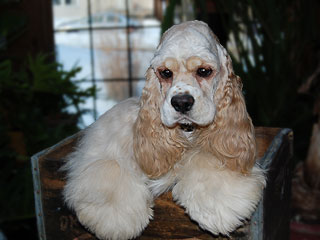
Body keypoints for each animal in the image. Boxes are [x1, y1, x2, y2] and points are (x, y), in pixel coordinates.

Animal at [62, 21, 264, 240]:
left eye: (204, 71)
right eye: (165, 72)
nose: (181, 102)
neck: (185, 132)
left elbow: (206, 158)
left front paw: (220, 208)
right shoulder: (102, 152)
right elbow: (110, 169)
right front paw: (117, 220)